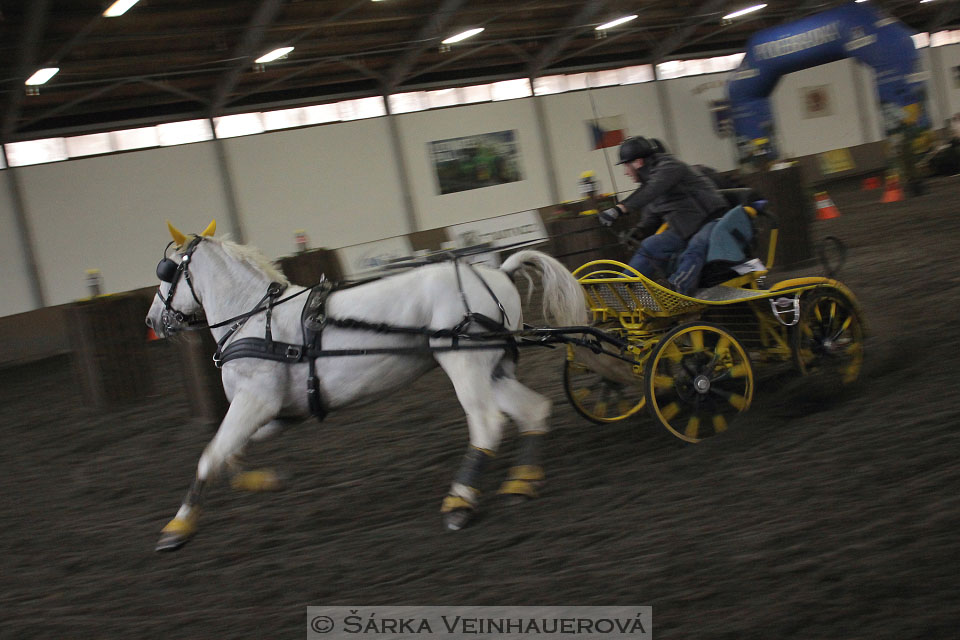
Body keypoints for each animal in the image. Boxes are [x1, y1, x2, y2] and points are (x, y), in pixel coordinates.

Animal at [146, 220, 588, 552]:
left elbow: (209, 455)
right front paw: (261, 480)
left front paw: (176, 528)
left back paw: (459, 501)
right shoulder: (278, 411)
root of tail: (498, 272)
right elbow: (229, 452)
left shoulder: (256, 401)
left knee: (487, 423)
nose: (152, 321)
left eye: (165, 271)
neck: (254, 319)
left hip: (463, 363)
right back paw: (521, 481)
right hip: (493, 369)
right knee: (533, 411)